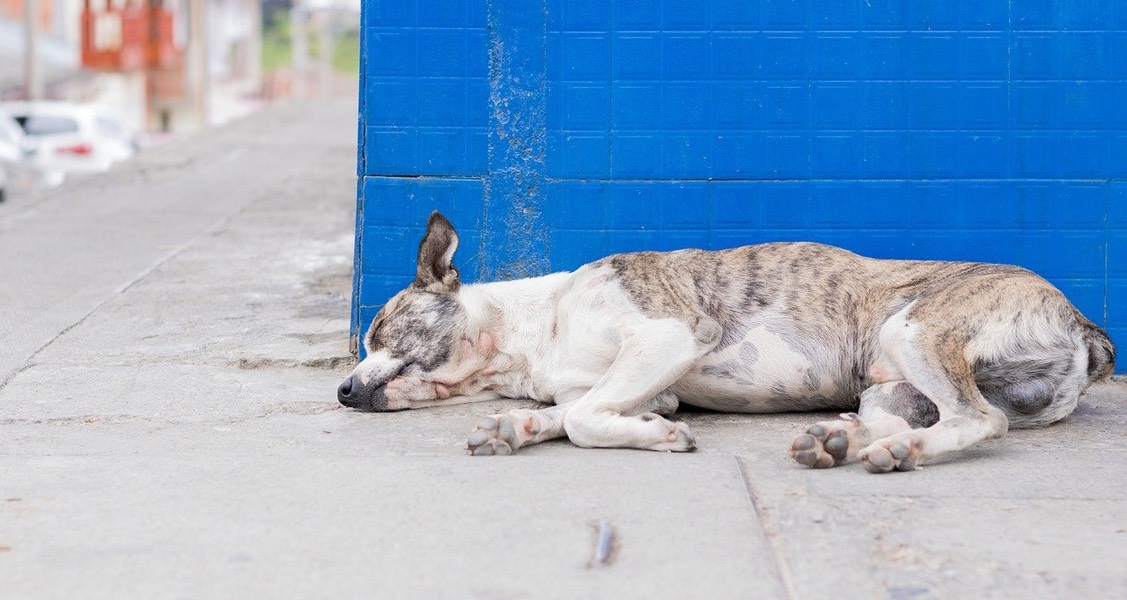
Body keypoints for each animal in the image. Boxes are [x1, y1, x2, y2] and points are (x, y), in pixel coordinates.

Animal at [338, 212, 1113, 473]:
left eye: (376, 333)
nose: (342, 391)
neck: (537, 330)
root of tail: (1084, 324)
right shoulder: (648, 384)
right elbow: (576, 412)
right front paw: (516, 426)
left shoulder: (668, 333)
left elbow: (585, 421)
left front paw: (654, 439)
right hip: (889, 389)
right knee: (928, 418)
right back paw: (842, 442)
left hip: (917, 327)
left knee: (976, 420)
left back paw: (897, 453)